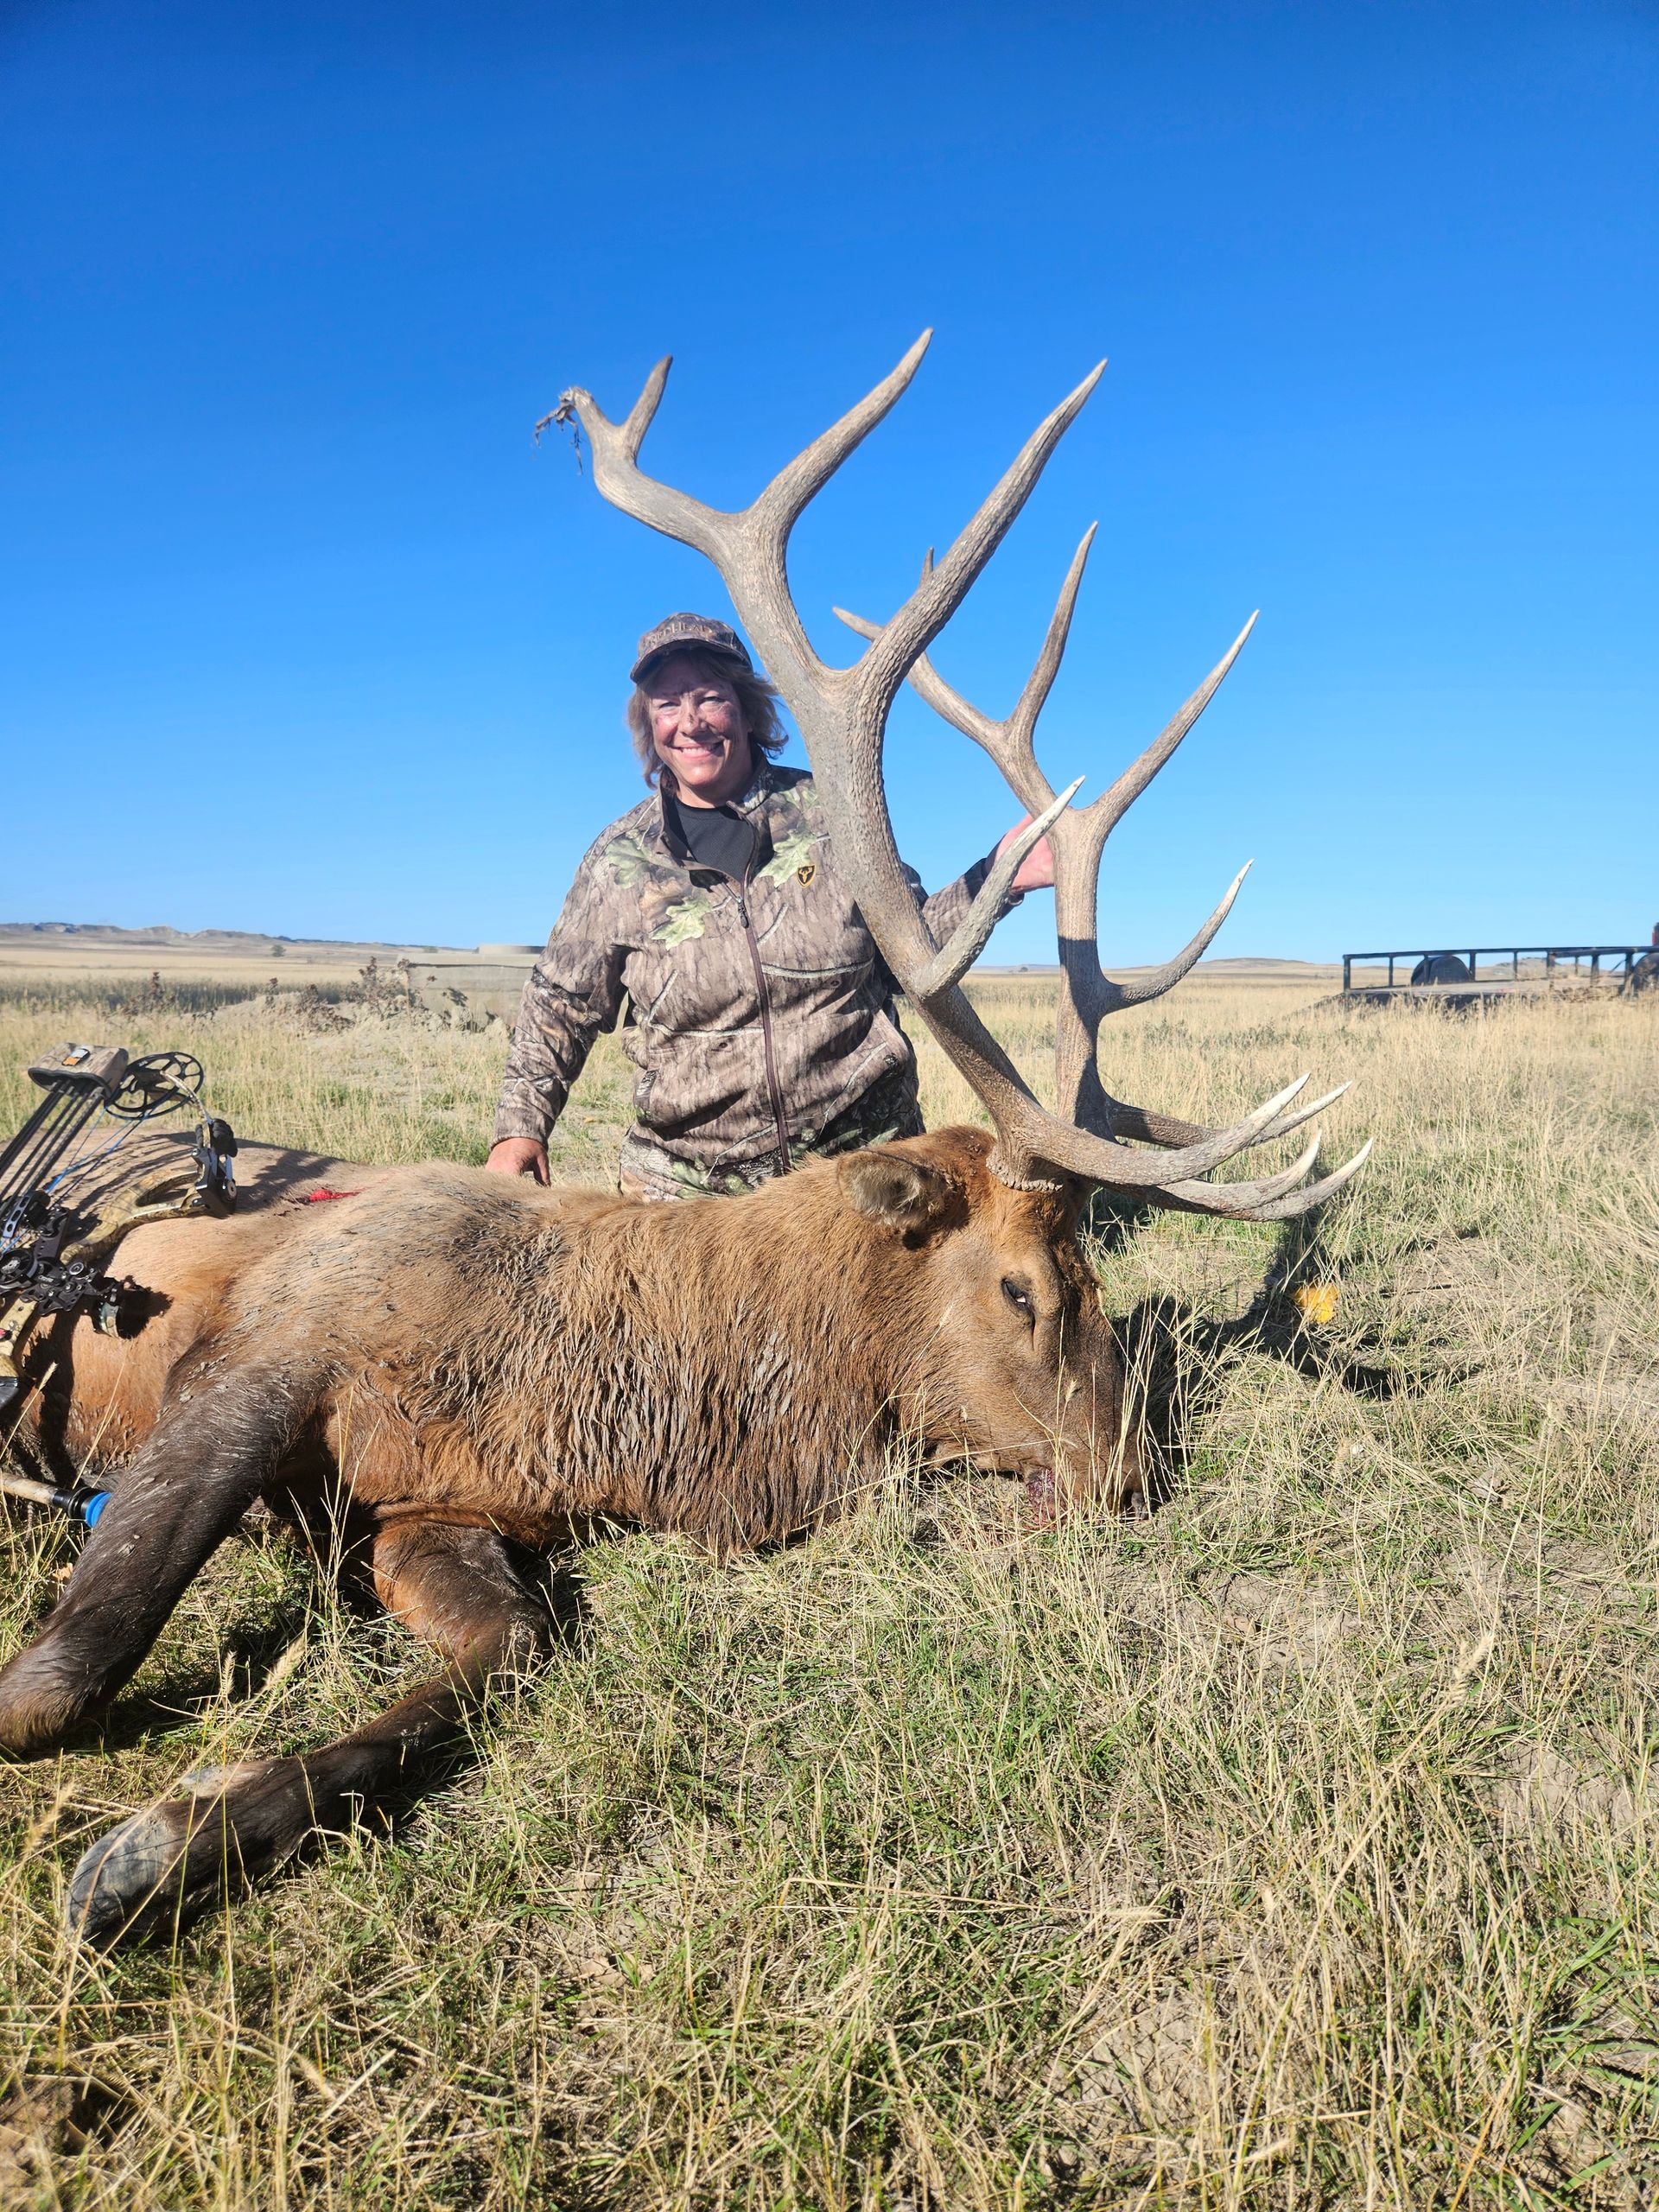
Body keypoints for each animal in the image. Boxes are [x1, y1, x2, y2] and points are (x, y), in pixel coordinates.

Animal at [0, 334, 1366, 1945]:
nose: (1133, 1478)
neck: (633, 1399)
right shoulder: (267, 1354)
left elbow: (509, 1659)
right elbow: (54, 1681)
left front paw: (170, 1839)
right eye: (1029, 1286)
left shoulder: (439, 1504)